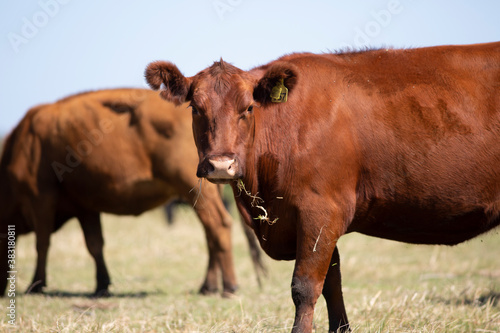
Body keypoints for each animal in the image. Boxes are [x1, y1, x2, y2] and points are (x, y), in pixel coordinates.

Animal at [0, 87, 266, 296]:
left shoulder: (40, 196)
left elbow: (42, 242)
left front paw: (36, 285)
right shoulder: (85, 205)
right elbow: (95, 244)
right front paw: (102, 285)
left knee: (218, 226)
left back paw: (229, 286)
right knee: (211, 232)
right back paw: (208, 286)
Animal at [146, 42, 500, 332]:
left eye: (247, 108)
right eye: (195, 108)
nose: (221, 165)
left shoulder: (321, 212)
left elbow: (305, 287)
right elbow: (332, 282)